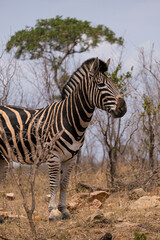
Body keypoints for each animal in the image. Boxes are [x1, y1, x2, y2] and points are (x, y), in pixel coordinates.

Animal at [0, 57, 127, 220]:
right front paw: (53, 212)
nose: (123, 108)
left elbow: (65, 183)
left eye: (113, 84)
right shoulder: (53, 156)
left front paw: (64, 211)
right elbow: (54, 183)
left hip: (2, 157)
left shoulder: (71, 157)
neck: (71, 119)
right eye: (101, 85)